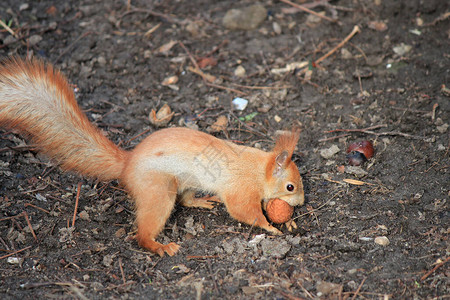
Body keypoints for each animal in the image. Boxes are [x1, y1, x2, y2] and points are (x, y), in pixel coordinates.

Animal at [0, 57, 306, 256]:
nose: (301, 202)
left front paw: (287, 220)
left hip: (184, 183)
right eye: (290, 186)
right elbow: (246, 212)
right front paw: (272, 227)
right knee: (144, 232)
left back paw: (202, 201)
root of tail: (127, 164)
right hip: (158, 190)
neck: (259, 169)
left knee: (185, 199)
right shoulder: (240, 190)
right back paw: (160, 246)